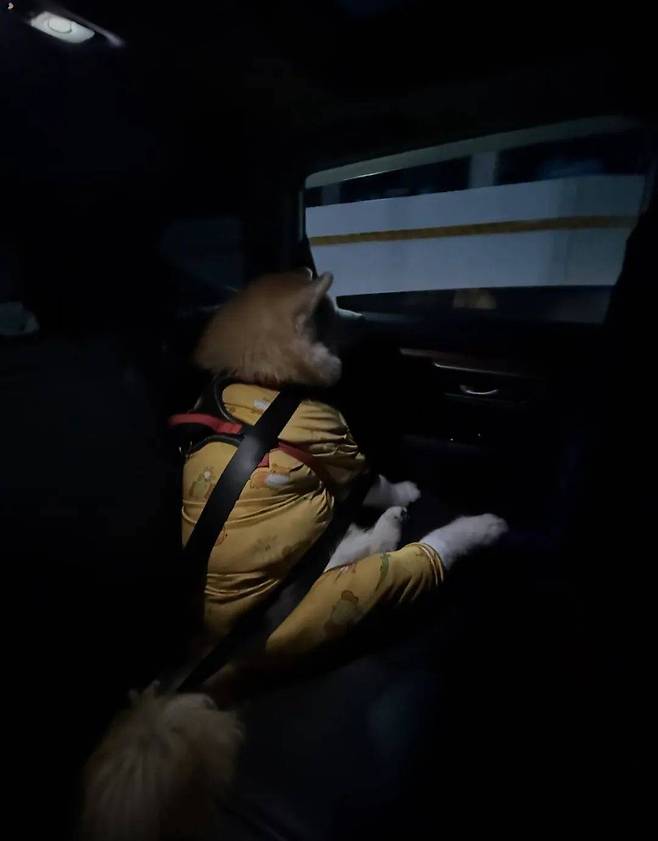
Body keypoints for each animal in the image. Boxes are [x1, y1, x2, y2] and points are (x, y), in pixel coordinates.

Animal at [83, 268, 507, 840]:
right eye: (330, 309)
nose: (364, 315)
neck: (270, 386)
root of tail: (216, 646)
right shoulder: (344, 454)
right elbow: (380, 481)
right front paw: (404, 493)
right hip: (346, 593)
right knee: (399, 551)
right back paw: (451, 528)